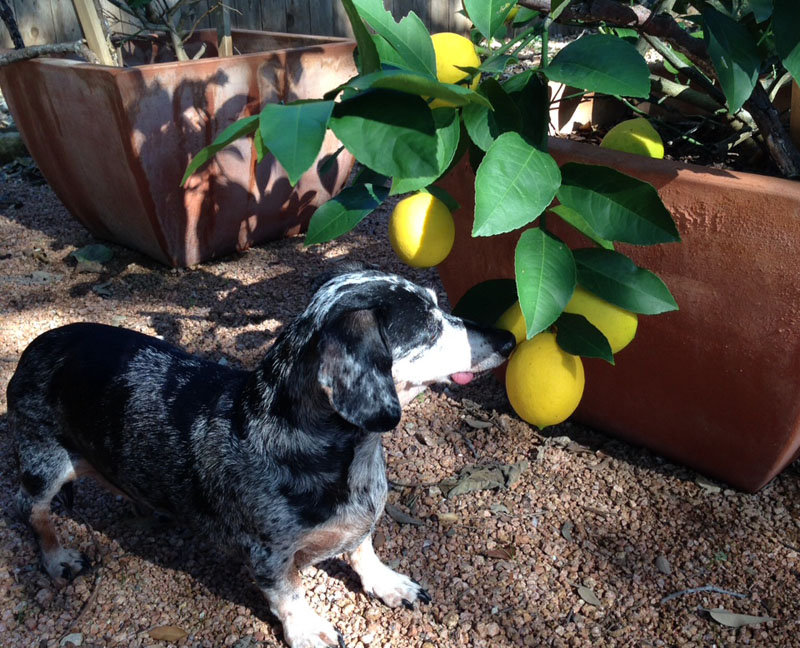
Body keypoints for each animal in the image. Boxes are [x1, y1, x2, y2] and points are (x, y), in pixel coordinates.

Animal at [6, 268, 516, 648]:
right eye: (430, 325)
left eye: (437, 306)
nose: (509, 339)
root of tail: (38, 344)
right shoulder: (266, 552)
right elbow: (287, 593)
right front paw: (307, 628)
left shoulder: (361, 522)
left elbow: (362, 550)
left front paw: (387, 582)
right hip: (44, 464)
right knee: (33, 512)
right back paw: (57, 558)